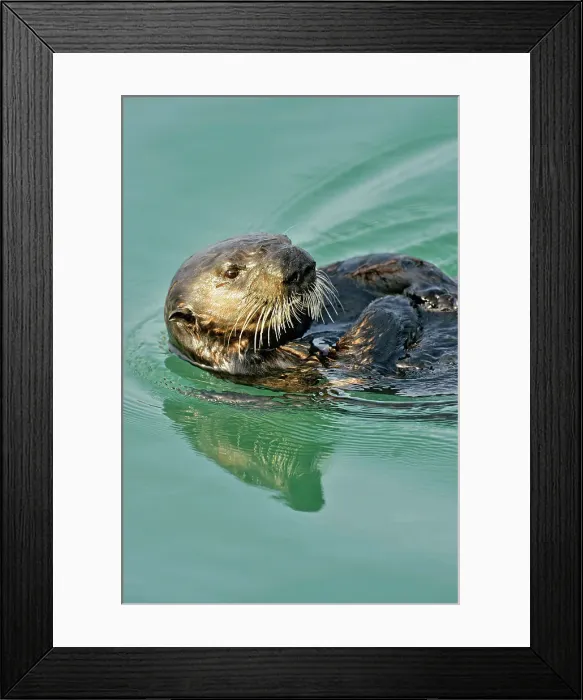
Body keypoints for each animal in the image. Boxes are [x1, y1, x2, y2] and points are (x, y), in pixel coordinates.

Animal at [164, 233, 458, 392]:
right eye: (231, 272)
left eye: (285, 239)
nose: (298, 264)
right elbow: (362, 356)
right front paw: (395, 301)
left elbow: (370, 265)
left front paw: (432, 290)